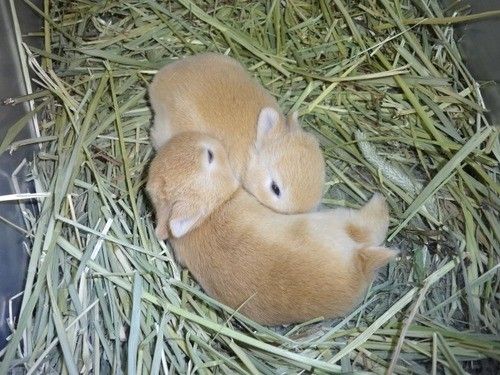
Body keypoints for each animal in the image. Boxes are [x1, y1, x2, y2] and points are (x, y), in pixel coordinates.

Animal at [146, 132, 396, 326]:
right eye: (209, 155)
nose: (209, 138)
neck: (213, 209)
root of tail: (360, 267)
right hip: (335, 223)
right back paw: (380, 201)